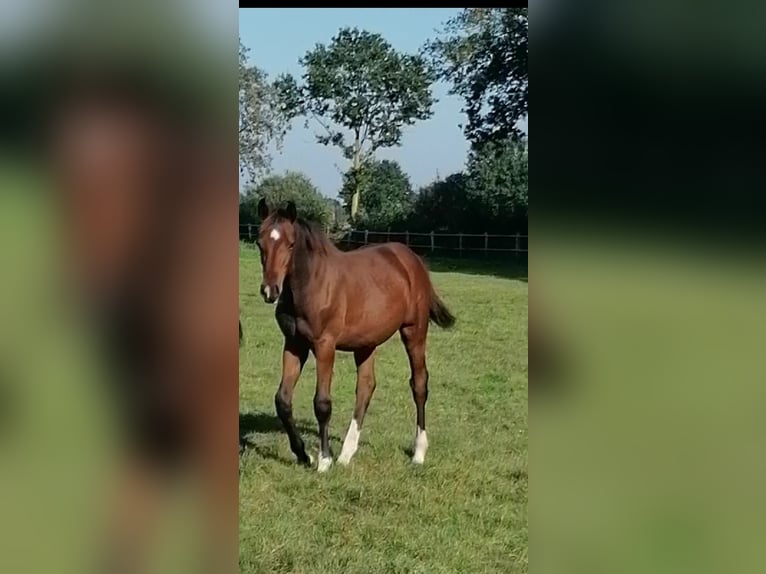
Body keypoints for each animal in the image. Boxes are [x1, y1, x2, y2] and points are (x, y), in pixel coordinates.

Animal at [255, 200, 456, 474]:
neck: (311, 285)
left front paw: (324, 460)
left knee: (419, 384)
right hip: (366, 343)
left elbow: (322, 403)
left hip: (414, 331)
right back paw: (347, 453)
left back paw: (418, 452)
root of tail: (412, 260)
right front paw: (304, 455)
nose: (270, 291)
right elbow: (283, 401)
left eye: (291, 244)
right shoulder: (294, 344)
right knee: (366, 387)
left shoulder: (324, 345)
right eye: (259, 242)